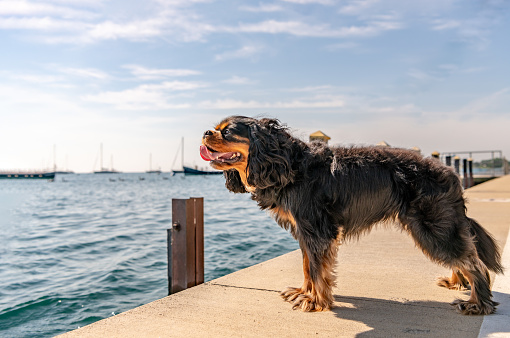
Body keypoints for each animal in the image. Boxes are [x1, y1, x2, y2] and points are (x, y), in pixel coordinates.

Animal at [199, 115, 502, 314]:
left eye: (227, 132)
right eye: (216, 129)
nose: (204, 132)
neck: (286, 162)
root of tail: (451, 173)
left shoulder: (317, 229)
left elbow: (317, 268)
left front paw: (315, 302)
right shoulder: (305, 231)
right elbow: (308, 266)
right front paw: (304, 292)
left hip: (431, 225)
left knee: (473, 262)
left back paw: (477, 303)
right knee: (463, 256)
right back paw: (456, 282)